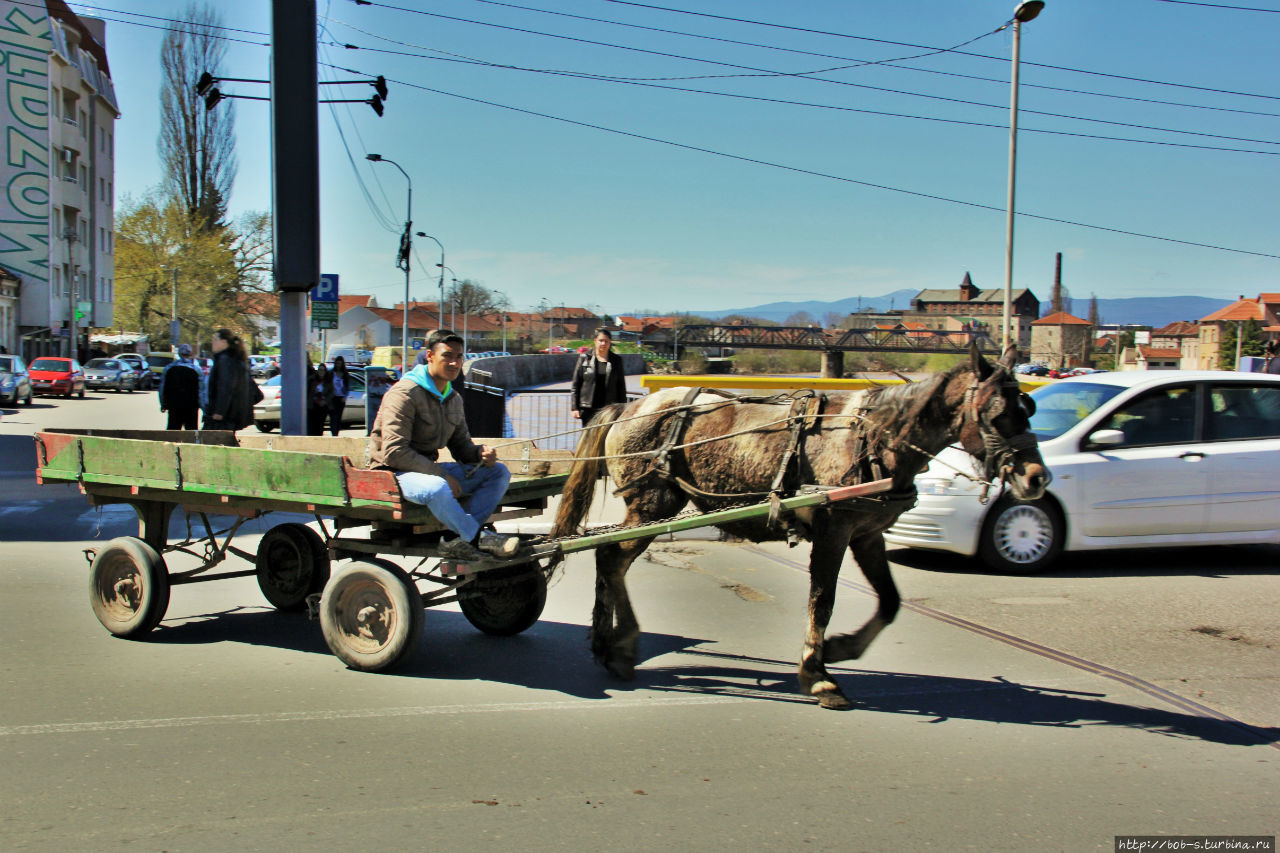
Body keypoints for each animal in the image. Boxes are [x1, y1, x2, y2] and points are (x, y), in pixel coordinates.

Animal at [550, 343, 1049, 706]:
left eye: (1028, 408)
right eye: (995, 413)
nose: (1036, 478)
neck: (872, 439)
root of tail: (627, 408)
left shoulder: (867, 535)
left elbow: (890, 601)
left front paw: (841, 649)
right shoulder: (833, 531)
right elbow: (822, 601)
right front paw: (817, 673)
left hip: (651, 508)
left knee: (608, 559)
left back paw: (607, 643)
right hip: (652, 505)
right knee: (612, 557)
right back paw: (622, 643)